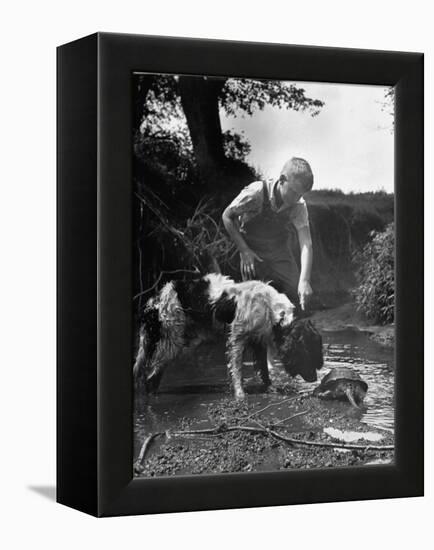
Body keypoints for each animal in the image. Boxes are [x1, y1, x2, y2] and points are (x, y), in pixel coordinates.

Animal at [134, 274, 324, 402]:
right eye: (309, 353)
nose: (315, 380)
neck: (270, 309)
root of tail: (154, 300)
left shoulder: (258, 340)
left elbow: (263, 370)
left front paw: (270, 388)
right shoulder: (237, 339)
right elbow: (237, 370)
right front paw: (240, 394)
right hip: (172, 342)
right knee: (151, 377)